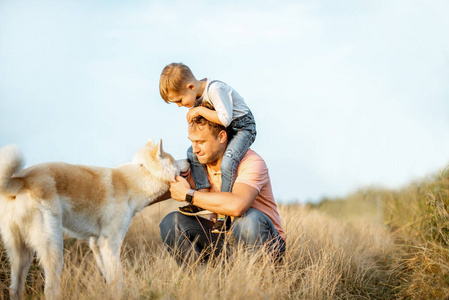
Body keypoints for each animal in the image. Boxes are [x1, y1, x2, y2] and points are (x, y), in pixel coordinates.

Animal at [0, 139, 188, 298]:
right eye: (174, 159)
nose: (188, 159)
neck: (140, 175)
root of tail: (20, 180)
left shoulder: (96, 243)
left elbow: (110, 278)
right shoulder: (110, 242)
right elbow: (117, 279)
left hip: (20, 253)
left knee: (15, 288)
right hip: (53, 248)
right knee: (50, 289)